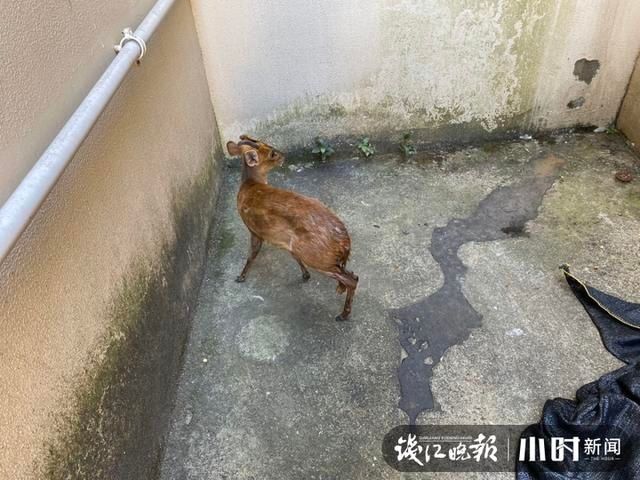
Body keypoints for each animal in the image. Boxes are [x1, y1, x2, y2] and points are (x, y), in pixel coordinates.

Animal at [226, 135, 358, 321]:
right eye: (271, 153)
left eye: (269, 147)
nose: (283, 155)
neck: (251, 185)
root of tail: (346, 243)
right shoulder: (284, 240)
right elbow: (291, 256)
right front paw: (305, 275)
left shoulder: (254, 229)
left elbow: (252, 255)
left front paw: (241, 276)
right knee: (350, 273)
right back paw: (341, 294)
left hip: (317, 256)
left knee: (353, 279)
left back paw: (343, 314)